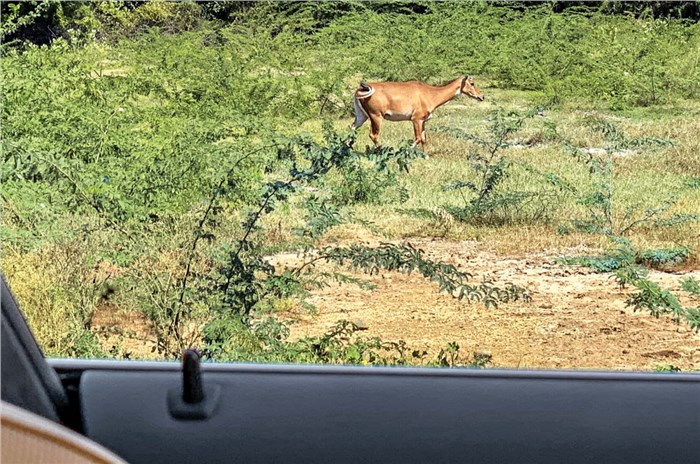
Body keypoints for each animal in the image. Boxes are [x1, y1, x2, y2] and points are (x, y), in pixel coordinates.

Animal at [352, 75, 484, 156]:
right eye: (472, 83)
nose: (482, 96)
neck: (430, 93)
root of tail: (361, 89)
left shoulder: (423, 121)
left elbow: (424, 139)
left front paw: (426, 156)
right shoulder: (416, 119)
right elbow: (418, 138)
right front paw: (406, 152)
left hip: (362, 116)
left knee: (352, 127)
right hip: (376, 116)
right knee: (373, 135)